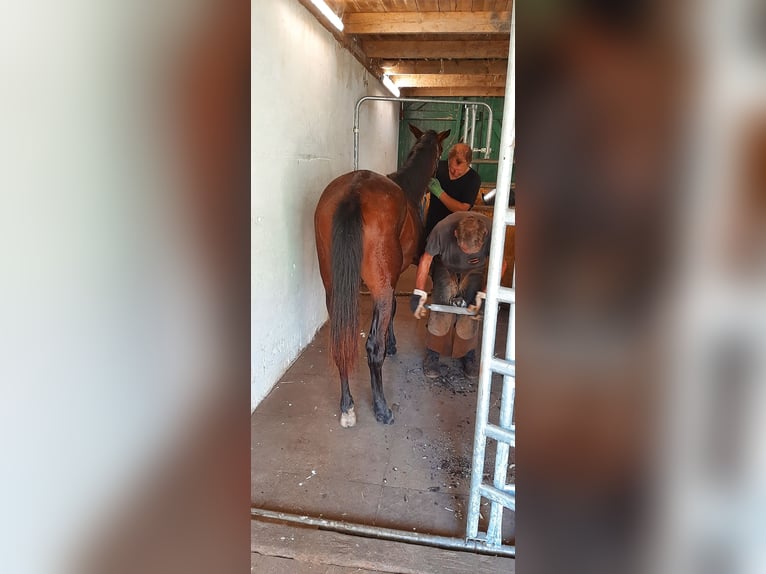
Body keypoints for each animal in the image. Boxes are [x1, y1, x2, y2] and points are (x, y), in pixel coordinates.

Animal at [316, 125, 452, 428]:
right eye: (440, 153)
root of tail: (354, 191)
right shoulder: (395, 279)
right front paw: (391, 345)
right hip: (379, 290)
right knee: (371, 348)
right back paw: (381, 408)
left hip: (333, 289)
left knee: (342, 343)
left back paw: (347, 406)